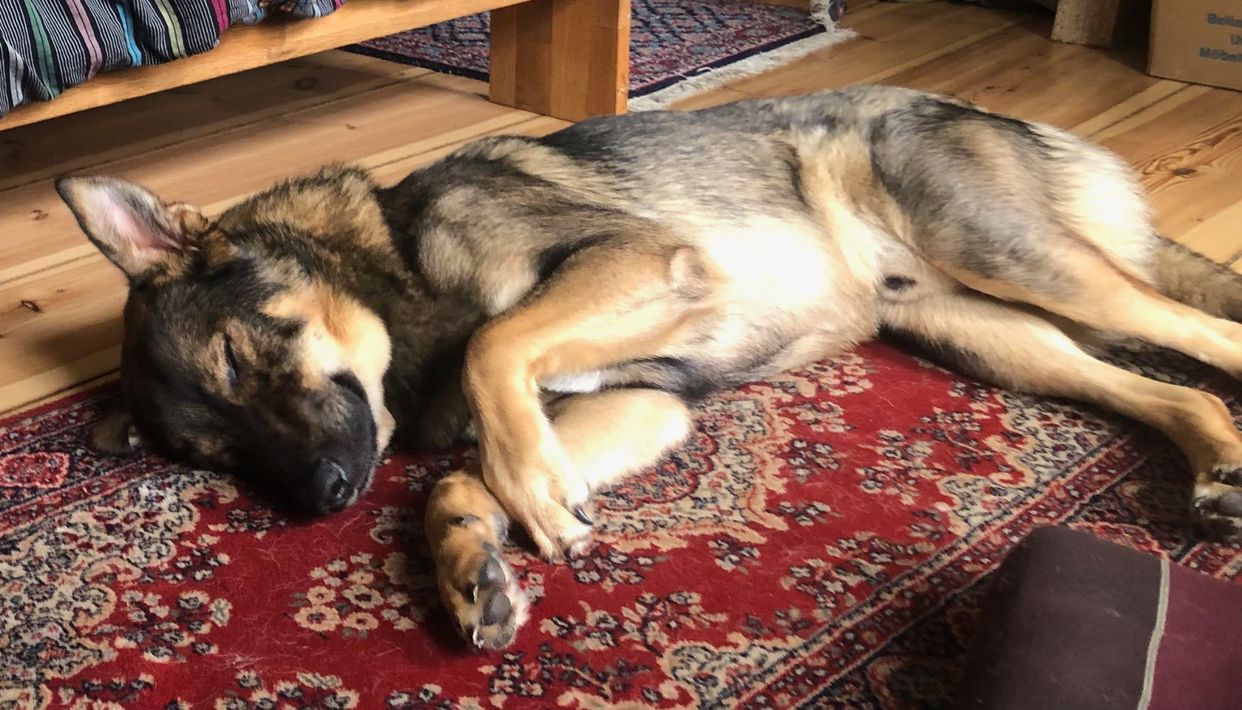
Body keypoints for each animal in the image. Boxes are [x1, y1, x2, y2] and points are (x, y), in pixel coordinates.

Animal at [58, 85, 1242, 650]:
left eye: (235, 356)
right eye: (215, 458)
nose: (324, 499)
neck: (394, 270)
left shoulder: (643, 262)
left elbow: (496, 346)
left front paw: (525, 491)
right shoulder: (643, 400)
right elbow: (461, 469)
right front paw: (474, 555)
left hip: (1019, 263)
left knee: (1203, 334)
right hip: (990, 334)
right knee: (1174, 387)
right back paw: (1216, 466)